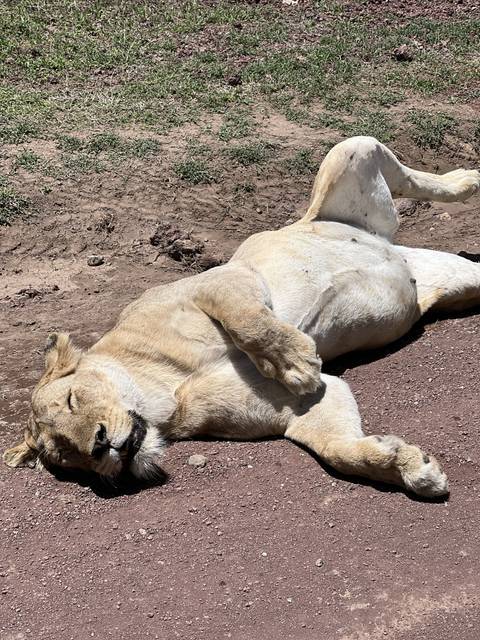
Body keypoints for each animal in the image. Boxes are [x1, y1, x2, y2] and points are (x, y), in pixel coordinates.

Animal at [4, 136, 480, 497]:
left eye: (72, 399)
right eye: (66, 454)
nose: (100, 446)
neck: (163, 393)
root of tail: (393, 250)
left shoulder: (221, 279)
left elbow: (247, 319)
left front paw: (296, 362)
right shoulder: (295, 408)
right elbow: (338, 448)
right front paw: (408, 467)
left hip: (349, 157)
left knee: (407, 174)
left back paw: (466, 180)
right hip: (458, 279)